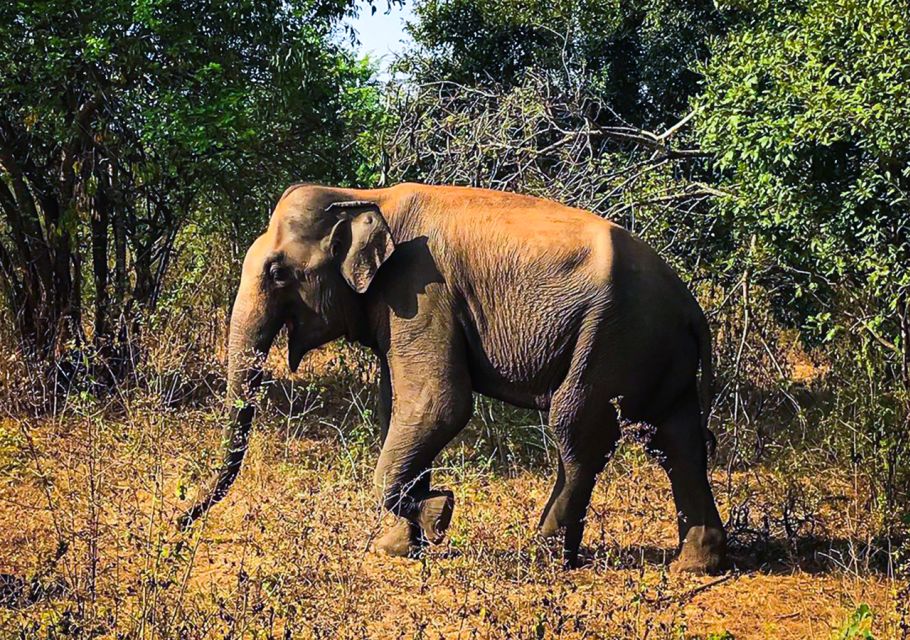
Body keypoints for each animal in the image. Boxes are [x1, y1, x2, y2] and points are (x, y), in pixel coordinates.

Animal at [180, 181, 728, 576]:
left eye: (276, 273)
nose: (181, 524)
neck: (363, 195)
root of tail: (691, 308)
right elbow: (400, 407)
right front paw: (397, 547)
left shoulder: (420, 290)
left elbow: (439, 403)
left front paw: (438, 514)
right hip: (655, 355)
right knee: (676, 441)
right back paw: (697, 565)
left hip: (614, 339)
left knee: (579, 434)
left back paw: (544, 556)